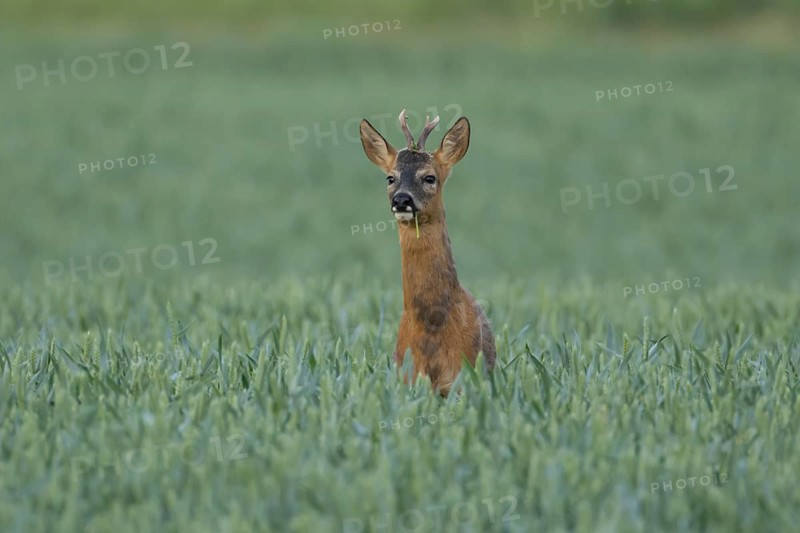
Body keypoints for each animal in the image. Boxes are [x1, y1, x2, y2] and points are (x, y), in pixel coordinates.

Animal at [359, 109, 496, 396]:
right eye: (390, 177)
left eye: (429, 177)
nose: (401, 200)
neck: (432, 325)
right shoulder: (406, 376)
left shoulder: (460, 378)